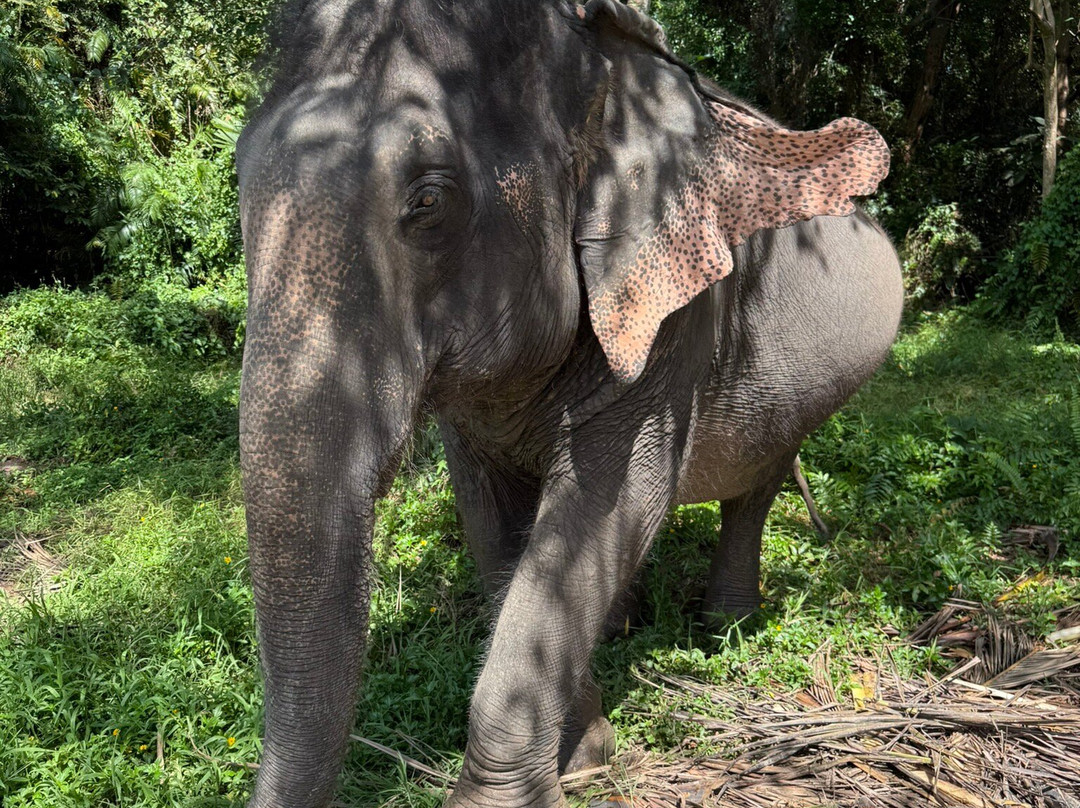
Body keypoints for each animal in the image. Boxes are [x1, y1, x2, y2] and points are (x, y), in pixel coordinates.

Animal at [234, 0, 903, 806]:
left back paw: (725, 631)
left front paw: (532, 785)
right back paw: (624, 627)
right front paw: (583, 758)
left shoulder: (676, 321)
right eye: (237, 180)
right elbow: (495, 527)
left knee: (757, 484)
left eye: (428, 201)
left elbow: (612, 504)